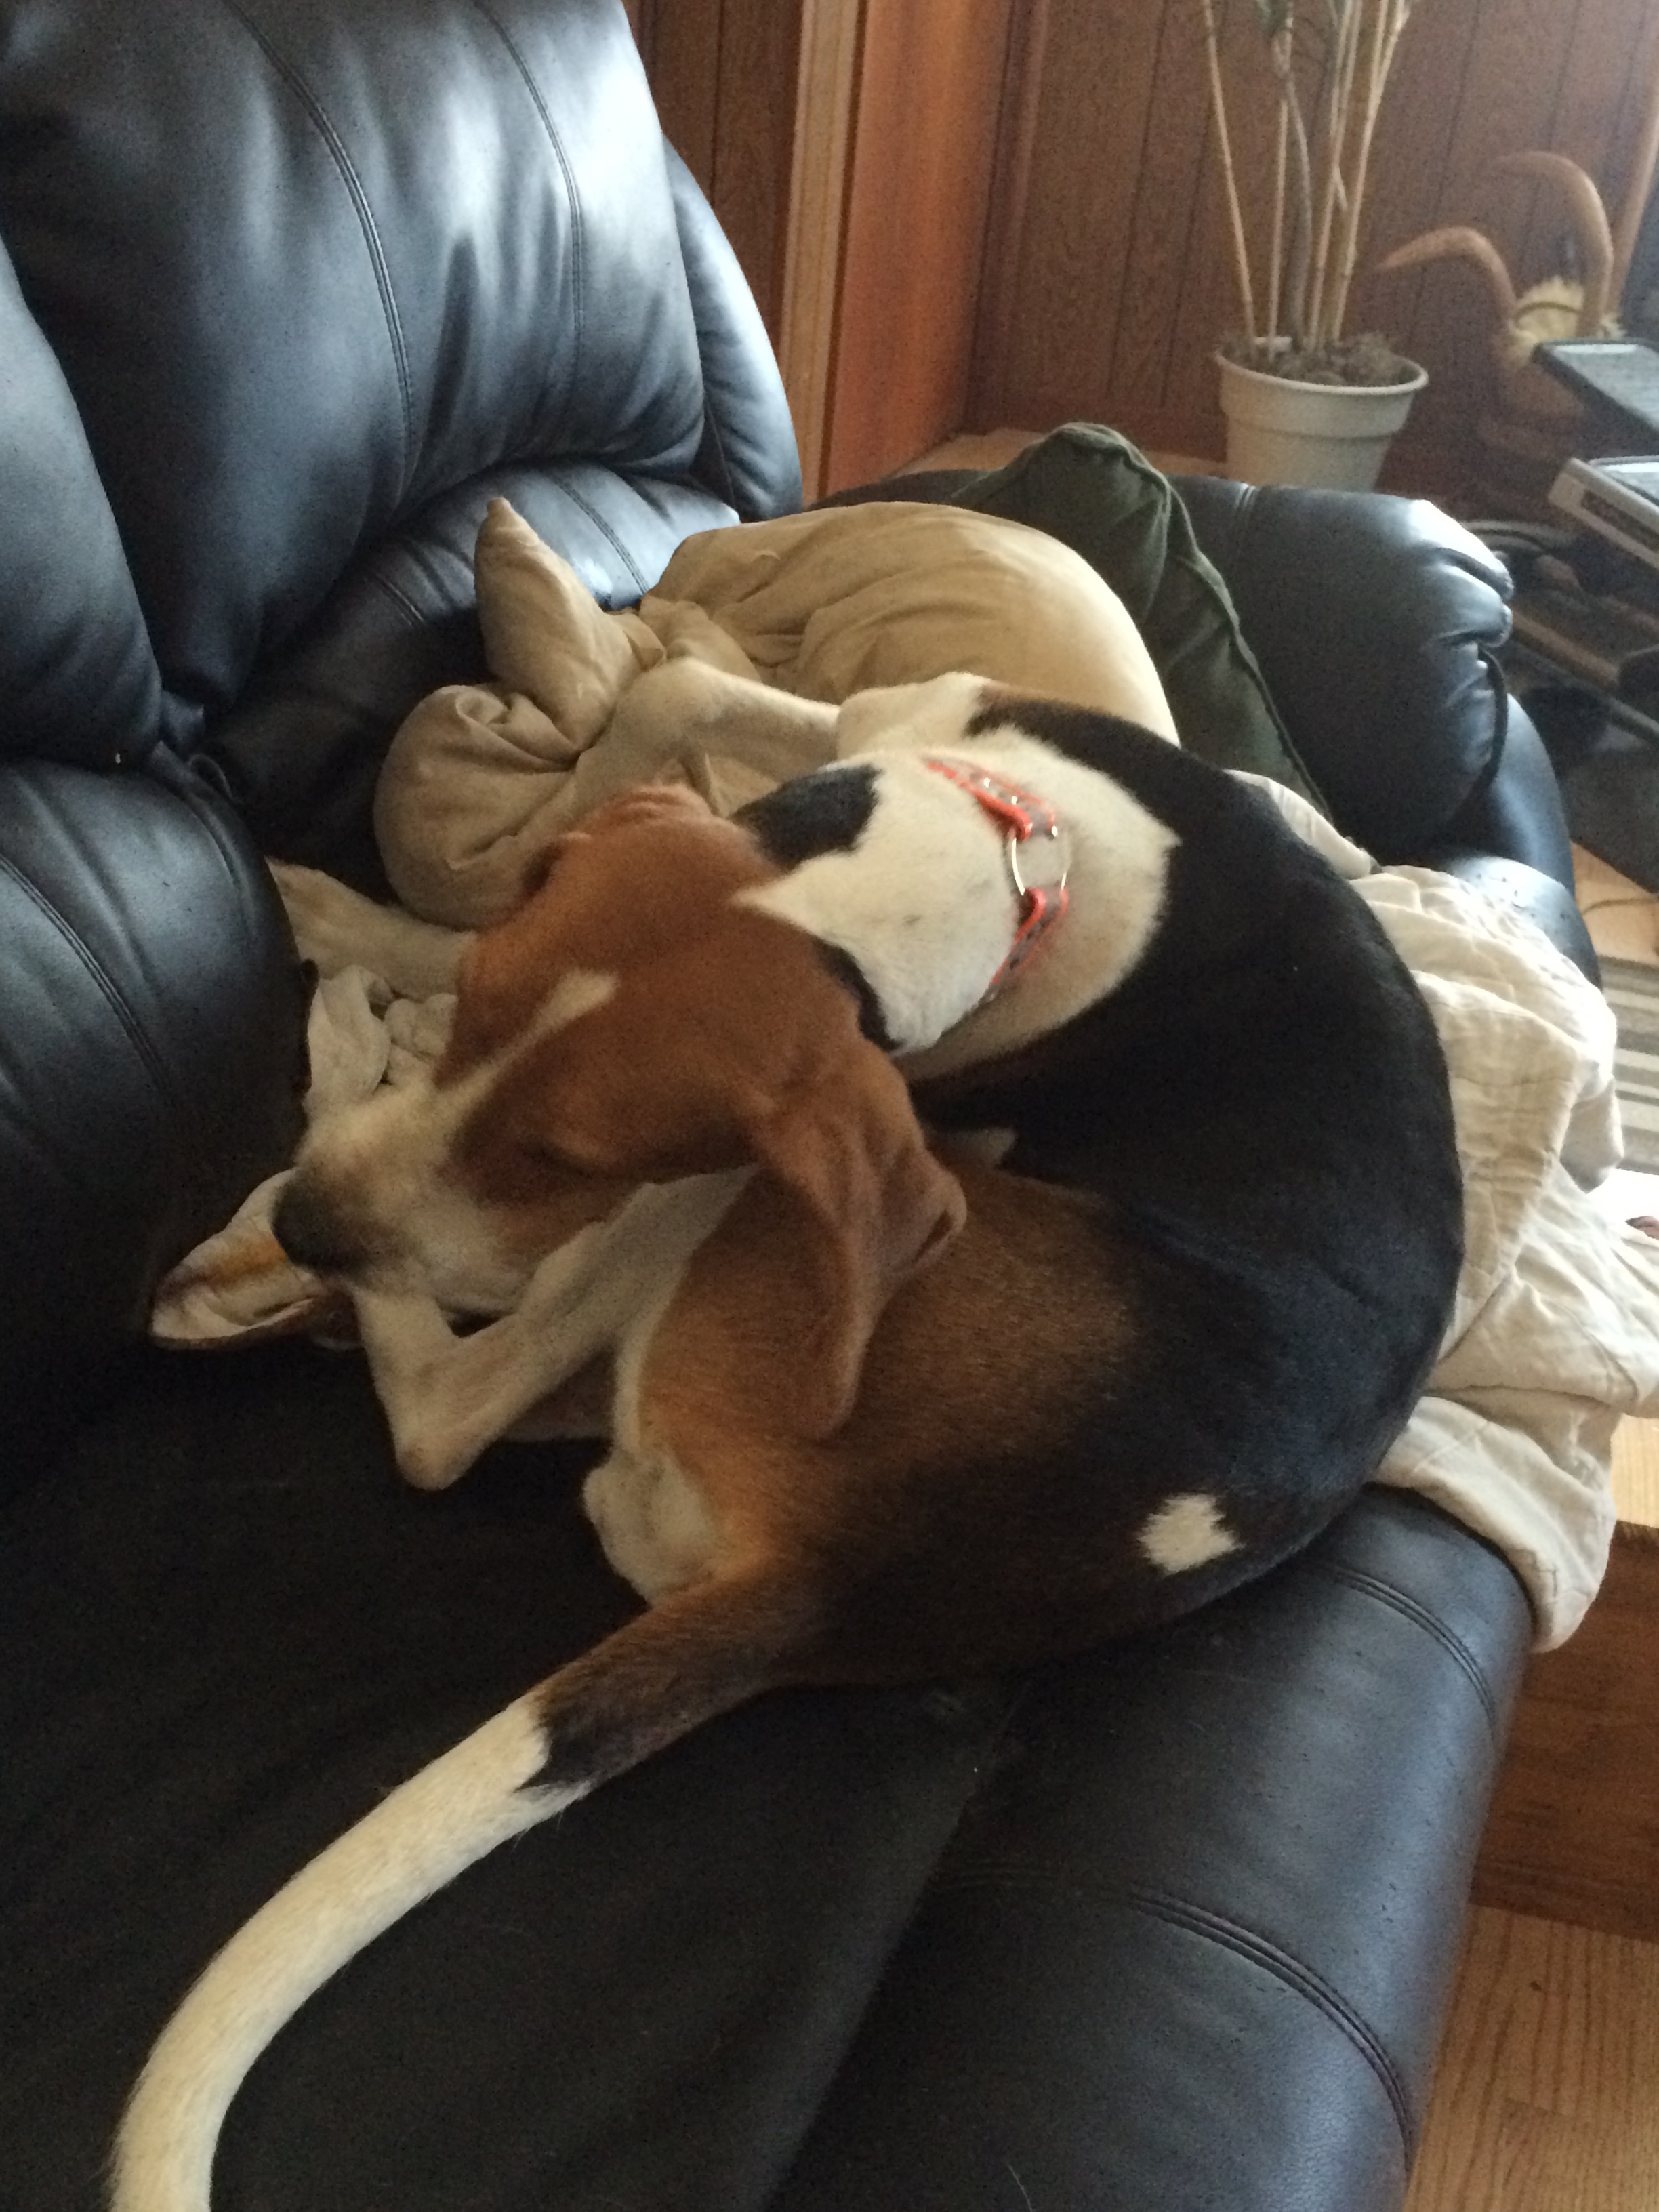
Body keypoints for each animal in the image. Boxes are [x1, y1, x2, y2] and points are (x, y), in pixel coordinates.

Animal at [114, 675, 1463, 2212]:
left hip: (756, 1201)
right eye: (477, 1016)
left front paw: (352, 982)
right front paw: (396, 915)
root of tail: (842, 1569)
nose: (313, 1228)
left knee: (451, 1417)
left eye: (571, 1159)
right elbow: (674, 696)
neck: (1009, 853)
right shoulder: (872, 731)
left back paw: (332, 1106)